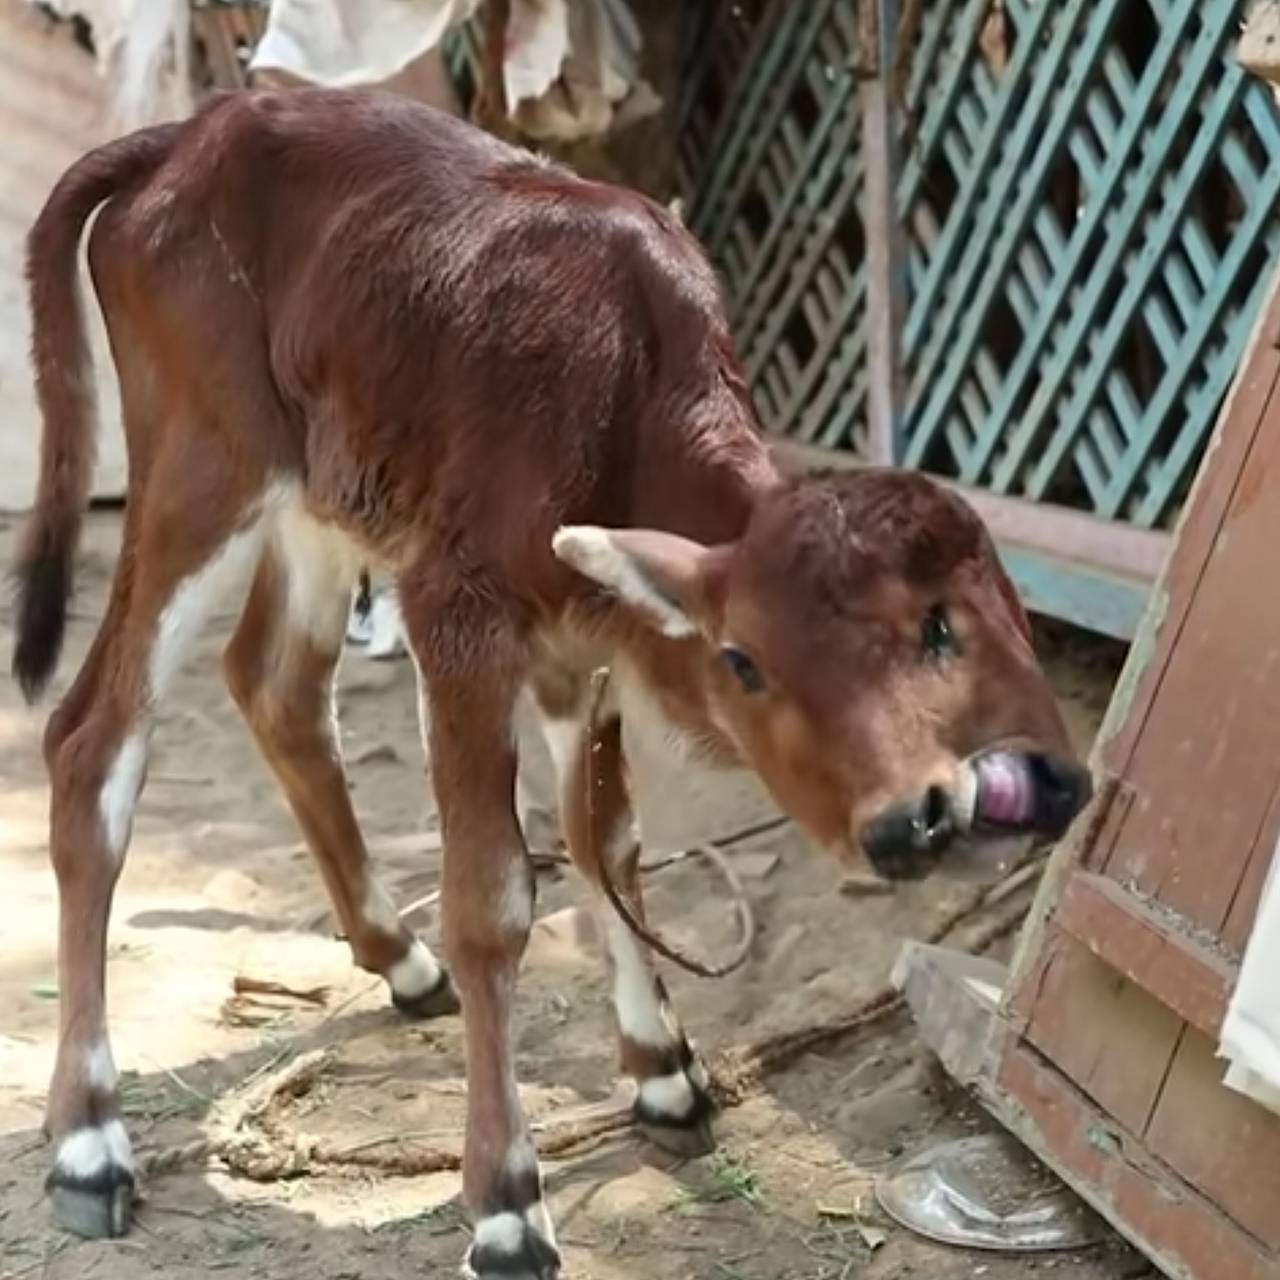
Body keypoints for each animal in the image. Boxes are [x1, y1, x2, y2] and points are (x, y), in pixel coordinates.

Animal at [10, 90, 1090, 1280]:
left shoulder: (586, 642)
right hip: (203, 469)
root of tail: (189, 132)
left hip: (322, 494)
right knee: (92, 738)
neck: (619, 398)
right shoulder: (458, 614)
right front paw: (506, 1202)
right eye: (744, 660)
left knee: (275, 683)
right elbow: (495, 902)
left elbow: (604, 842)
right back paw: (90, 1139)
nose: (915, 817)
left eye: (942, 626)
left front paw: (662, 1068)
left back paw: (399, 959)